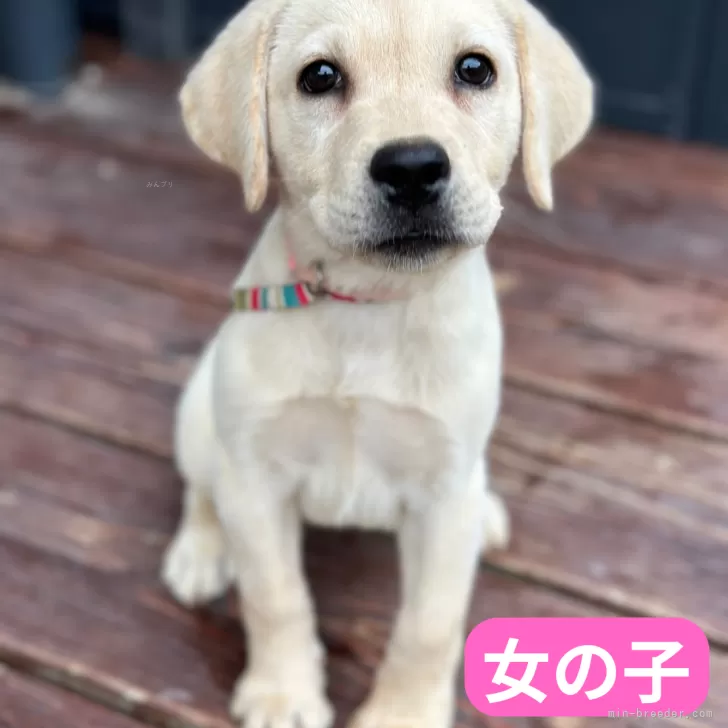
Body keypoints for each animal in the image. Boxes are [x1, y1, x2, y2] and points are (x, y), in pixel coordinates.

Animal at [161, 1, 592, 728]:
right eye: (320, 77)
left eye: (475, 68)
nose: (413, 167)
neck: (368, 307)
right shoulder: (256, 479)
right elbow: (274, 598)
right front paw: (284, 693)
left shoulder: (444, 495)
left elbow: (428, 626)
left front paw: (403, 713)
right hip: (200, 414)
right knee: (201, 484)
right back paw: (201, 550)